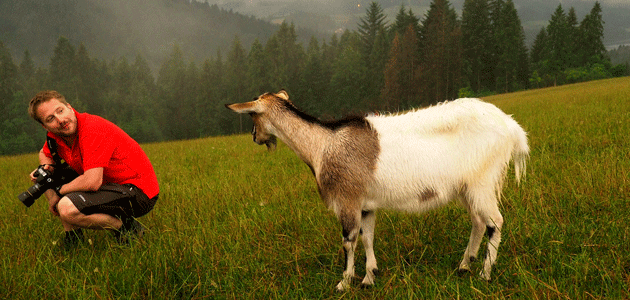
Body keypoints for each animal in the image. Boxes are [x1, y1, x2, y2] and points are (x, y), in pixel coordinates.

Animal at [225, 91, 532, 290]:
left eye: (252, 115)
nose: (254, 137)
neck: (322, 145)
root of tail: (512, 128)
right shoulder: (366, 204)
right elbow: (368, 237)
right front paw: (369, 277)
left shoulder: (347, 199)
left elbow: (349, 240)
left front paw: (344, 282)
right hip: (467, 187)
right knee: (478, 222)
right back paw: (464, 265)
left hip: (483, 181)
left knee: (495, 223)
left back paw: (484, 274)